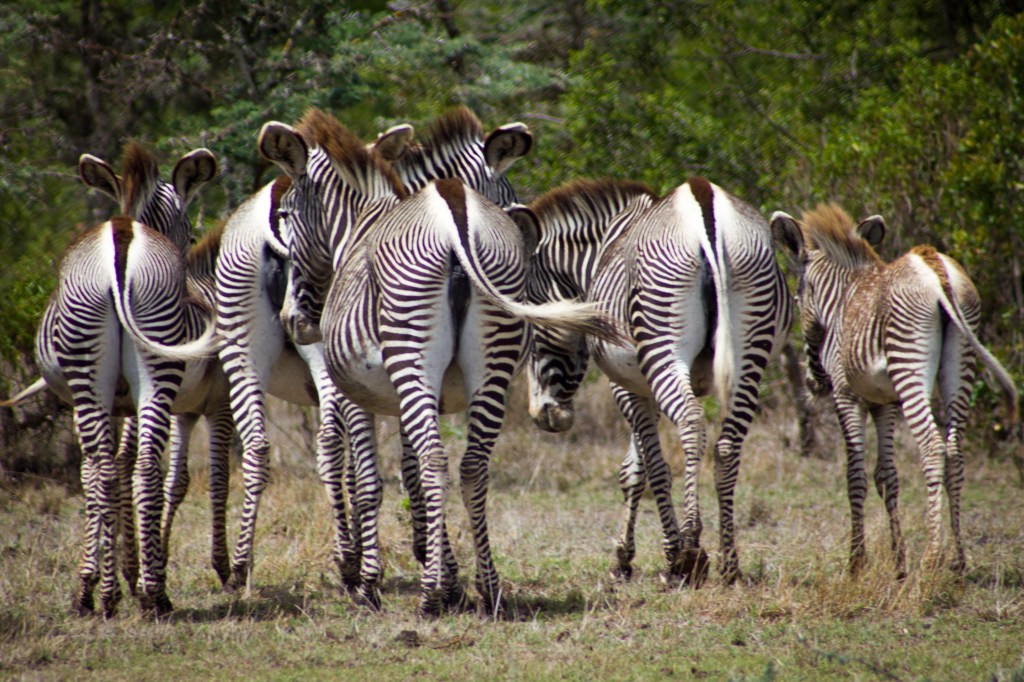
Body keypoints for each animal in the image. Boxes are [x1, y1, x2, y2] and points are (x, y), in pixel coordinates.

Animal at [6, 143, 221, 616]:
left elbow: (98, 471)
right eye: (188, 230)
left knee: (111, 469)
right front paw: (125, 576)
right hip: (145, 365)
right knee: (137, 468)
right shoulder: (122, 402)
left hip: (98, 366)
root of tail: (122, 242)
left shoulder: (105, 401)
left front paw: (115, 577)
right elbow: (118, 467)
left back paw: (105, 594)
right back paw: (143, 594)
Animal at [261, 108, 618, 616]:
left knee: (432, 461)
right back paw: (488, 588)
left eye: (287, 214)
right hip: (490, 365)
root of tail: (453, 216)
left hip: (412, 354)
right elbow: (410, 478)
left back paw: (426, 595)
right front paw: (446, 572)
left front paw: (376, 582)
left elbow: (374, 481)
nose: (295, 320)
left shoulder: (359, 393)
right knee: (471, 467)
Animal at [524, 178, 792, 586]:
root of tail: (705, 206)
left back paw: (691, 550)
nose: (542, 415)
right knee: (727, 447)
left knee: (692, 424)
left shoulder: (626, 386)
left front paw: (664, 555)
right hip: (750, 350)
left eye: (534, 328)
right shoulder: (642, 387)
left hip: (664, 342)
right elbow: (634, 469)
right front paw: (624, 557)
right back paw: (729, 564)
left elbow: (650, 466)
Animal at [771, 204, 1018, 576]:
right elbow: (886, 476)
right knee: (954, 452)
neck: (841, 299)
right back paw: (958, 560)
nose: (815, 383)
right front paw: (898, 561)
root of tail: (934, 265)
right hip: (961, 361)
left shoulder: (848, 397)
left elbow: (855, 476)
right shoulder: (884, 402)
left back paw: (932, 557)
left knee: (932, 447)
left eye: (798, 298)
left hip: (909, 364)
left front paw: (857, 561)